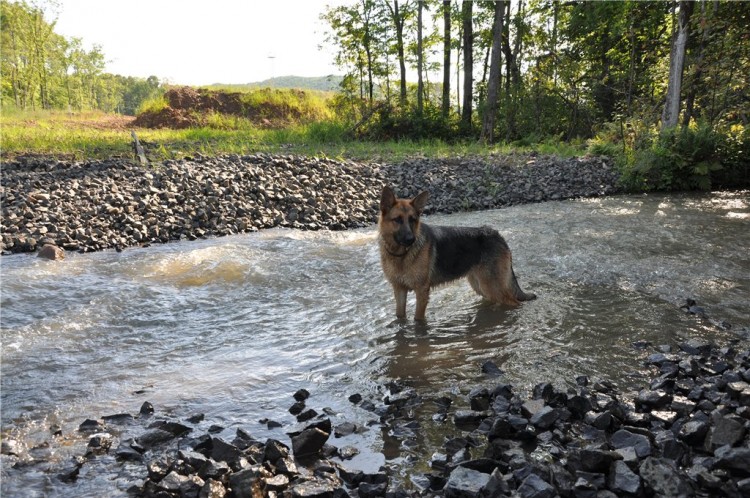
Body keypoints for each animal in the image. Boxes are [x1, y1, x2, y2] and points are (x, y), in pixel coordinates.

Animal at [382, 185, 536, 320]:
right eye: (397, 220)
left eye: (412, 220)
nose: (411, 239)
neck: (401, 256)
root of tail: (498, 235)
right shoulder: (399, 290)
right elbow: (400, 316)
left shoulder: (421, 292)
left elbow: (418, 319)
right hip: (481, 286)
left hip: (491, 286)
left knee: (514, 302)